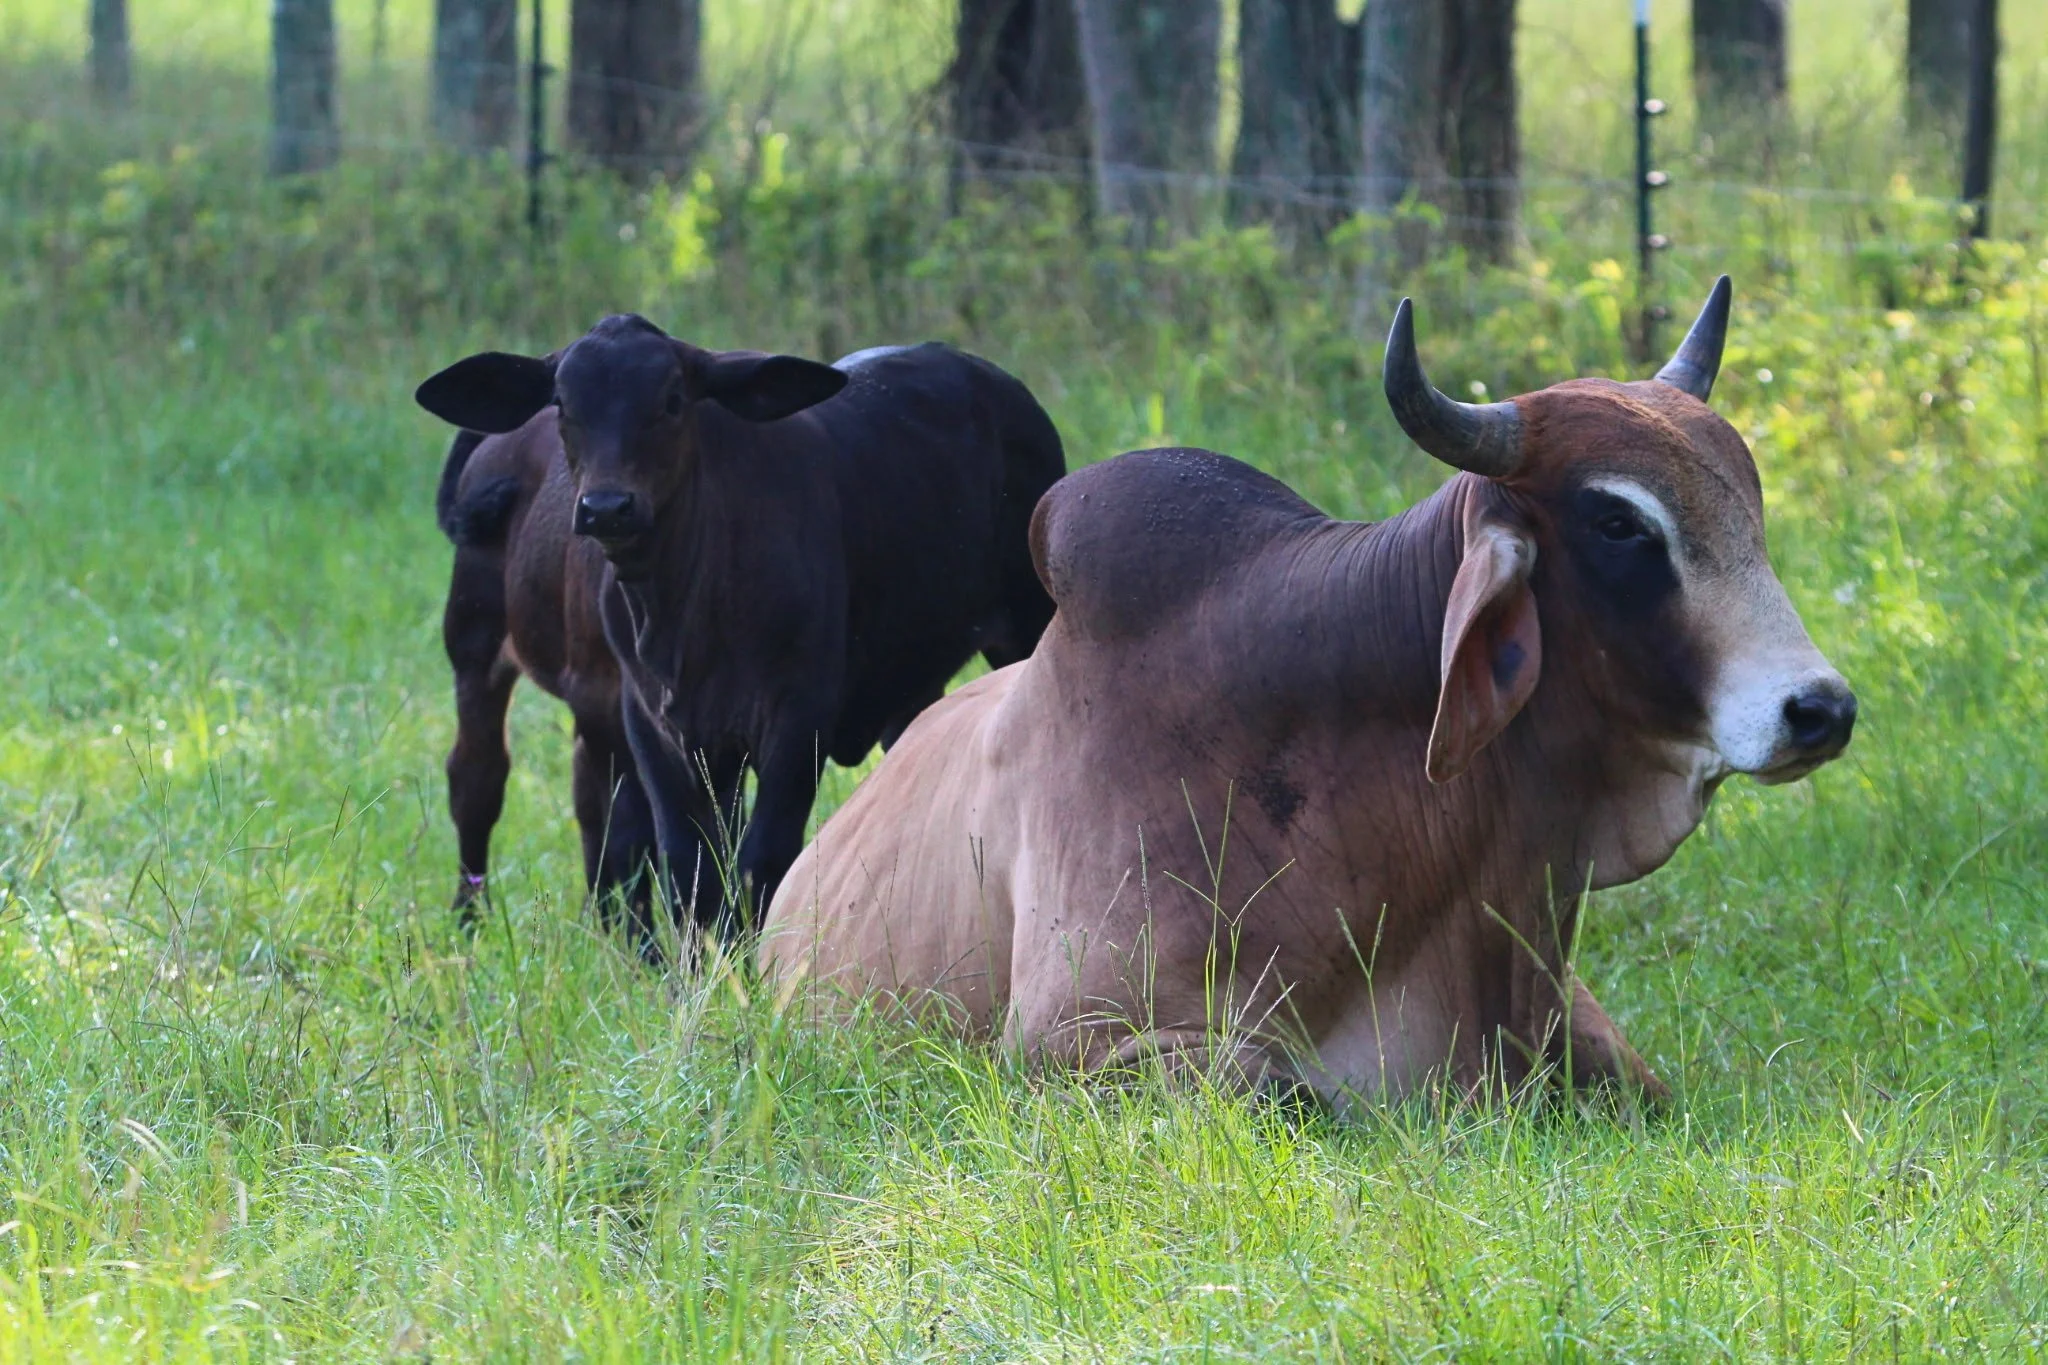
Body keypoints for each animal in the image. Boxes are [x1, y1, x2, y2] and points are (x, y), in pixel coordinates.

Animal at [417, 317, 1066, 946]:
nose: (606, 507)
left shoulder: (796, 715)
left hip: (1019, 622)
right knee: (479, 777)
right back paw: (471, 920)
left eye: (673, 400)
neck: (681, 613)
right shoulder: (649, 721)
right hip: (473, 644)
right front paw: (698, 963)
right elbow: (686, 861)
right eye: (562, 403)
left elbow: (760, 857)